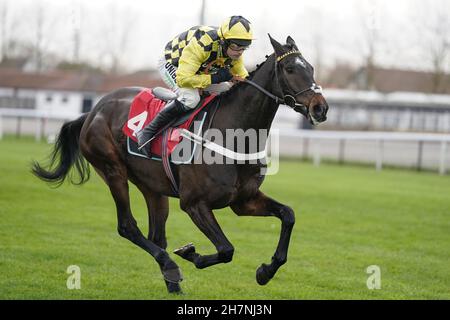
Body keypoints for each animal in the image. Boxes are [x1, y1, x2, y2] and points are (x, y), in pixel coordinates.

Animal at [31, 35, 326, 292]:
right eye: (290, 68)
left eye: (311, 68)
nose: (320, 108)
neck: (234, 134)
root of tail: (93, 111)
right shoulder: (194, 203)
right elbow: (226, 249)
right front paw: (189, 253)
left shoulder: (244, 201)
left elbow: (288, 214)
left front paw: (266, 271)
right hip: (112, 170)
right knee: (128, 226)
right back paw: (171, 266)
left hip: (152, 186)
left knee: (156, 235)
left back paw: (171, 281)